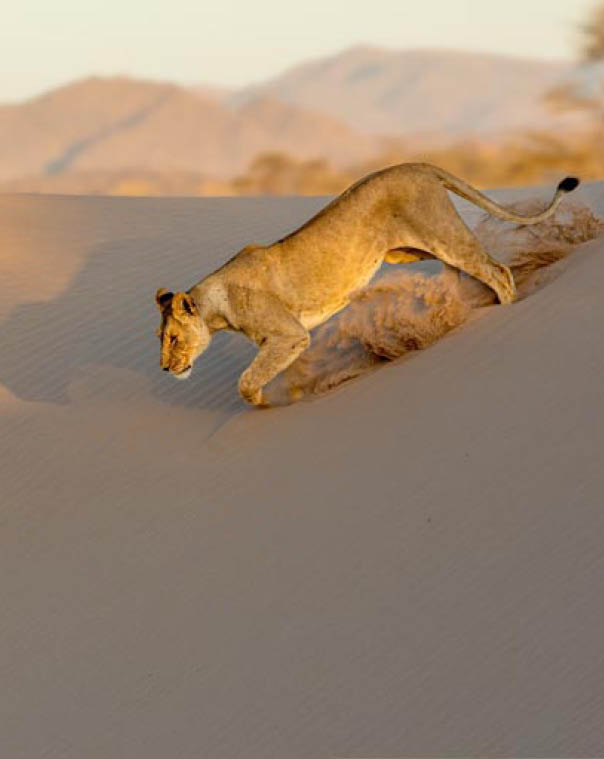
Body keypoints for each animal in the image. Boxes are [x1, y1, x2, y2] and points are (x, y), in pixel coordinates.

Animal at [155, 163, 579, 405]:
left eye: (173, 339)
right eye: (161, 338)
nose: (163, 368)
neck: (216, 303)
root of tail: (416, 164)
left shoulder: (288, 335)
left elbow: (247, 380)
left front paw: (264, 403)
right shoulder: (288, 339)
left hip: (441, 233)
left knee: (497, 271)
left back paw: (502, 309)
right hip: (407, 250)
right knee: (459, 271)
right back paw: (450, 309)